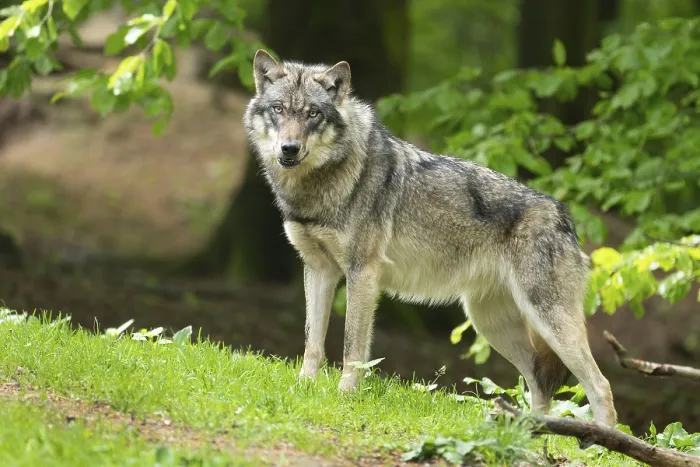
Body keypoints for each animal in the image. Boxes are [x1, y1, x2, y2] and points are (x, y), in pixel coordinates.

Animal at [242, 49, 617, 426]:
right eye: (278, 109)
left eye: (313, 114)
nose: (289, 149)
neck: (320, 183)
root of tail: (564, 216)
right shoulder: (319, 269)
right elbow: (312, 343)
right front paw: (303, 389)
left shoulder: (363, 273)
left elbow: (352, 348)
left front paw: (345, 397)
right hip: (492, 324)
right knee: (539, 381)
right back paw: (532, 432)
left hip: (547, 321)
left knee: (599, 385)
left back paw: (599, 438)